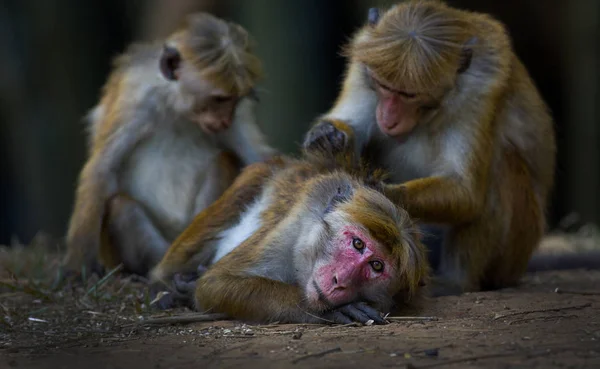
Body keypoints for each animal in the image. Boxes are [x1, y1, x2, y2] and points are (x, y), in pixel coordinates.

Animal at [61, 12, 276, 278]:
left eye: (235, 101)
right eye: (219, 99)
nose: (225, 120)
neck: (178, 107)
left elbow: (257, 158)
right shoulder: (135, 96)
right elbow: (102, 169)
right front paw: (78, 264)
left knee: (222, 161)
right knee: (120, 207)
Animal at [152, 145, 428, 324]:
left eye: (377, 265)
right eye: (357, 243)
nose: (340, 280)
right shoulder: (293, 224)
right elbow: (214, 283)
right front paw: (324, 310)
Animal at [304, 0, 556, 294]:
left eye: (409, 95)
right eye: (382, 85)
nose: (387, 117)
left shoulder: (481, 91)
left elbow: (465, 191)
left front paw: (382, 192)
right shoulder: (363, 62)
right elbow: (349, 125)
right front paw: (327, 135)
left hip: (514, 253)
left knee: (500, 164)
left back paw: (456, 281)